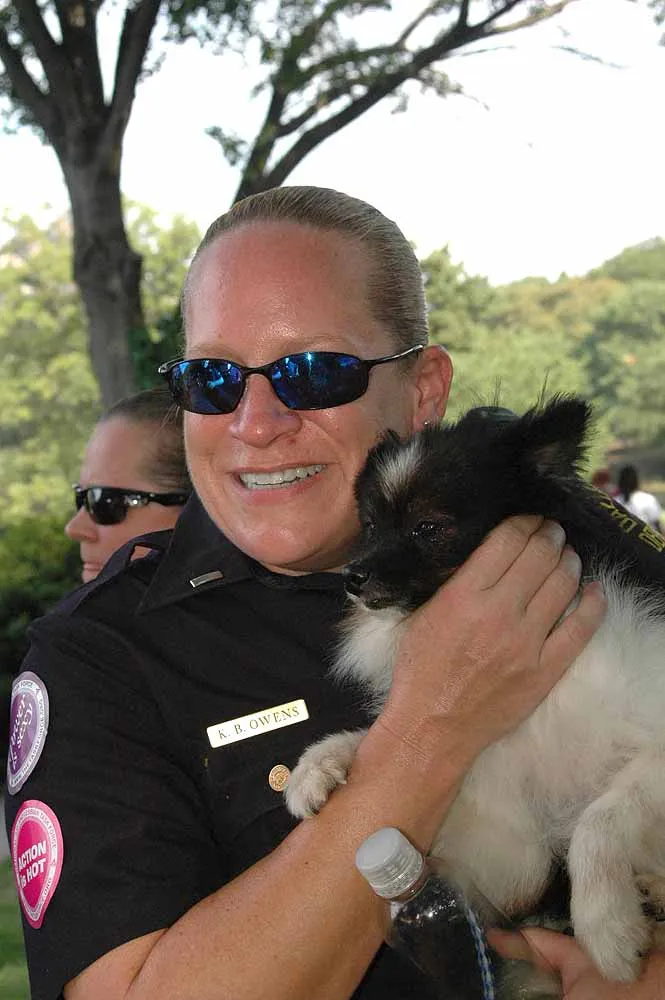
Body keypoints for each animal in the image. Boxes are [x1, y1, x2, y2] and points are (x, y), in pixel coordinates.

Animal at [285, 396, 665, 994]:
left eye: (428, 528)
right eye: (369, 526)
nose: (353, 576)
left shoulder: (654, 747)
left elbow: (597, 821)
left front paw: (606, 927)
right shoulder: (516, 849)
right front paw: (321, 763)